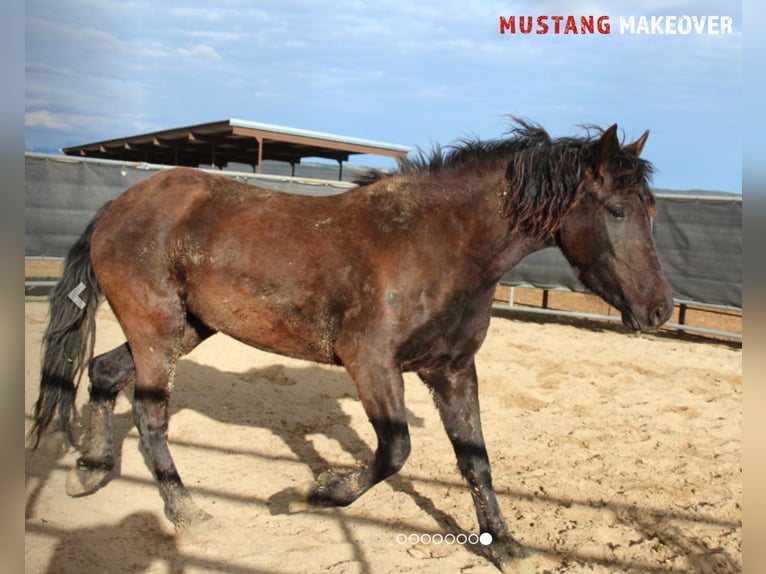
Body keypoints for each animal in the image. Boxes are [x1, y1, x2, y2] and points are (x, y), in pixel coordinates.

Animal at [30, 119, 676, 572]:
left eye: (650, 211)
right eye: (617, 210)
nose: (660, 310)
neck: (438, 243)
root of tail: (117, 205)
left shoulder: (452, 371)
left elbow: (475, 460)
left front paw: (507, 547)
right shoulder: (370, 364)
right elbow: (396, 450)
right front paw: (315, 492)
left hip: (182, 330)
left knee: (103, 373)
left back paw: (89, 471)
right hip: (156, 332)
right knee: (149, 415)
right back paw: (187, 512)